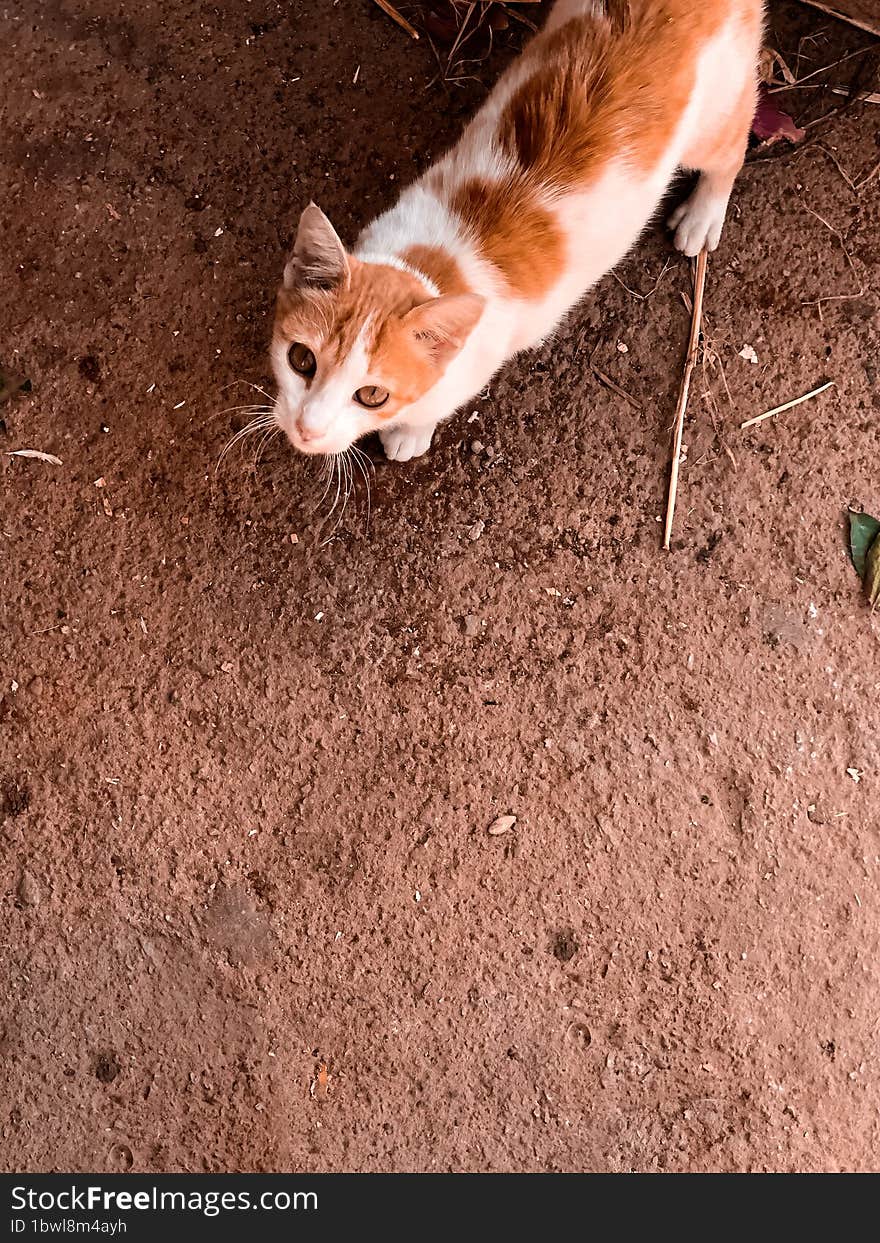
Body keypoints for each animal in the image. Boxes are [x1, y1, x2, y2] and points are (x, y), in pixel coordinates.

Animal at [268, 0, 760, 462]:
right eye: (301, 360)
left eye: (372, 395)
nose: (307, 430)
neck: (429, 261)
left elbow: (434, 406)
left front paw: (409, 433)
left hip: (715, 112)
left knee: (732, 147)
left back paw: (702, 215)